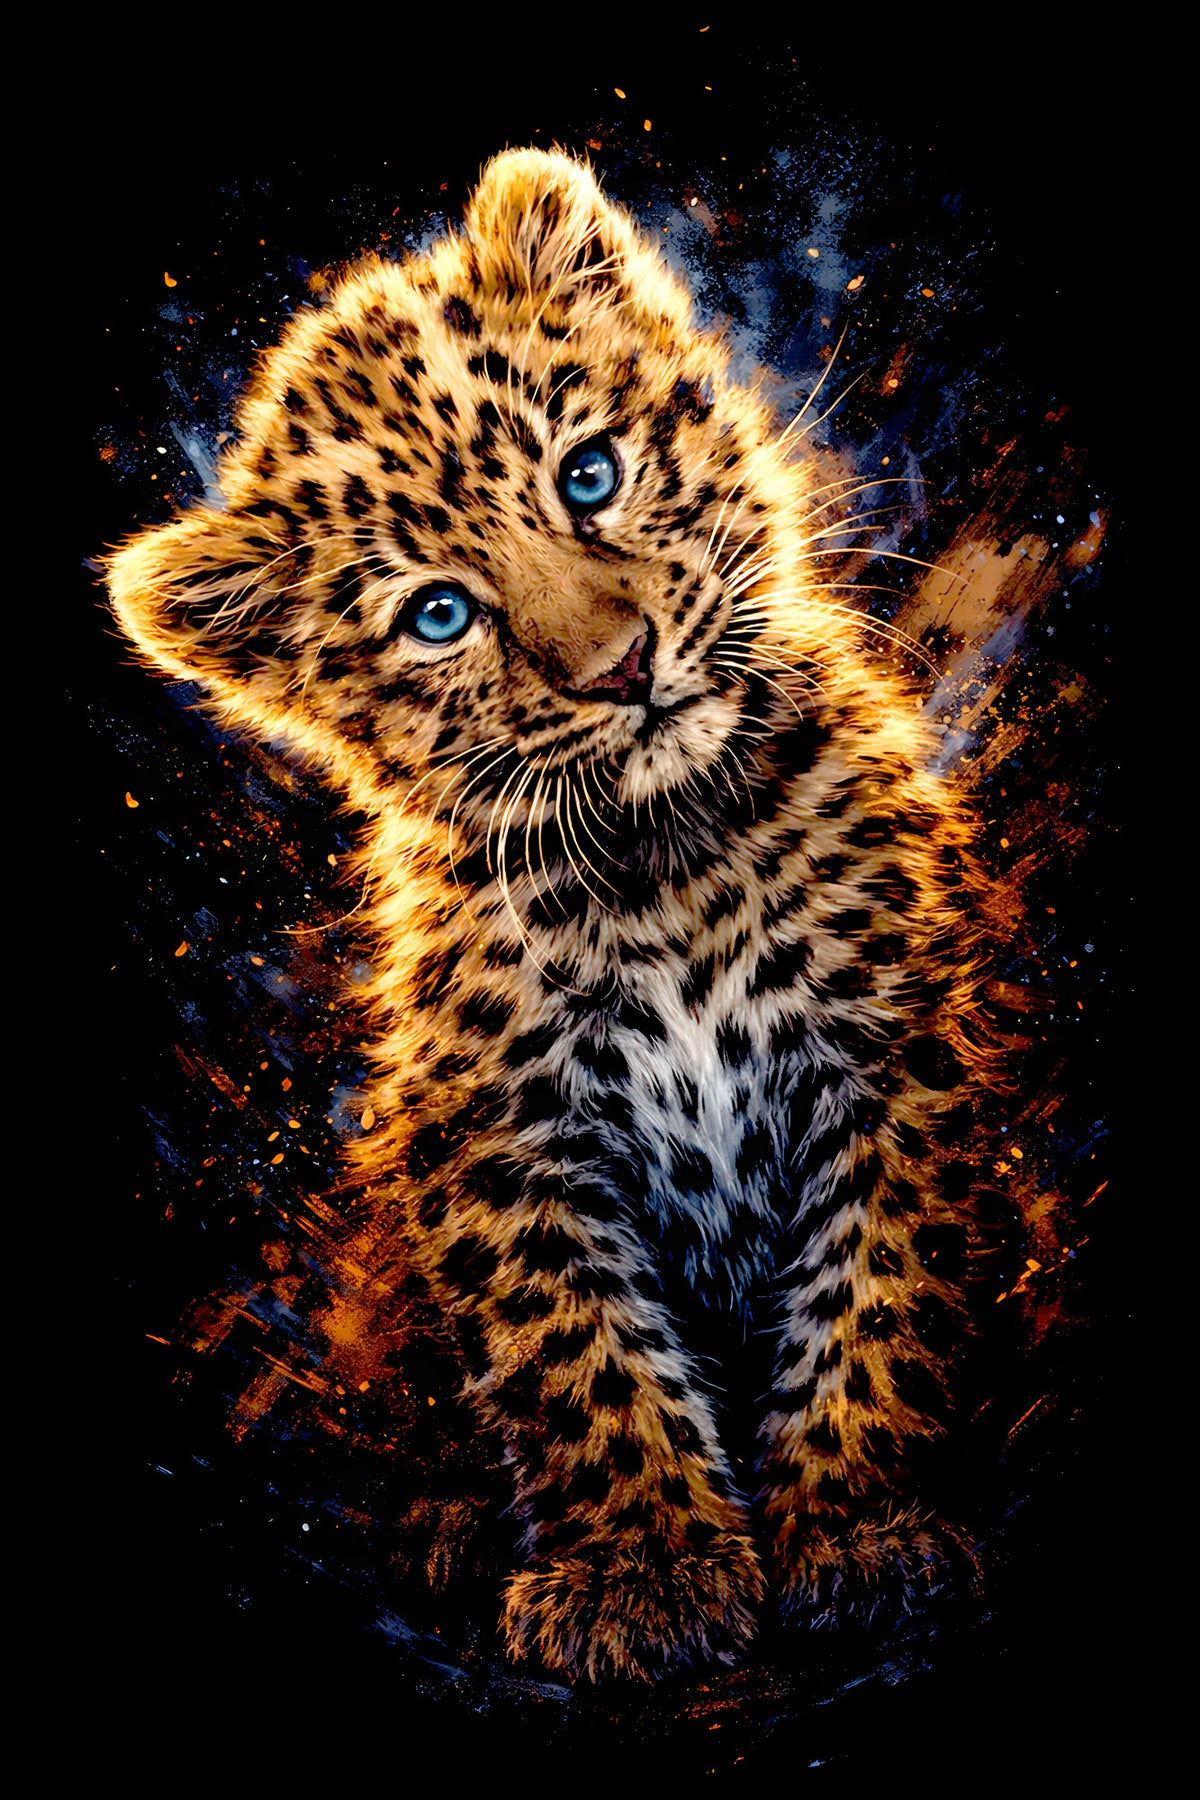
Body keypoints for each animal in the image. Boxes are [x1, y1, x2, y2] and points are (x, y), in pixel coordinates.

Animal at [106, 148, 1008, 1683]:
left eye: (590, 474)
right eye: (438, 616)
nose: (622, 668)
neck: (669, 854)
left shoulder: (892, 1049)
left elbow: (873, 1292)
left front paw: (860, 1530)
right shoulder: (500, 1132)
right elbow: (578, 1351)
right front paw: (647, 1576)